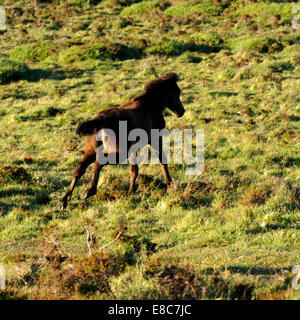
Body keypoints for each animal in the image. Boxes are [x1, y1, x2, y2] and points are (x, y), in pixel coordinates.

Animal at [59, 72, 184, 210]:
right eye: (177, 92)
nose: (181, 112)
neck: (149, 106)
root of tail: (99, 120)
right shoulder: (155, 139)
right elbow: (162, 161)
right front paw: (169, 184)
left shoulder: (133, 149)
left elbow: (134, 170)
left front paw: (131, 193)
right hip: (118, 153)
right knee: (99, 163)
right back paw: (89, 191)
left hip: (91, 151)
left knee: (80, 169)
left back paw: (64, 200)